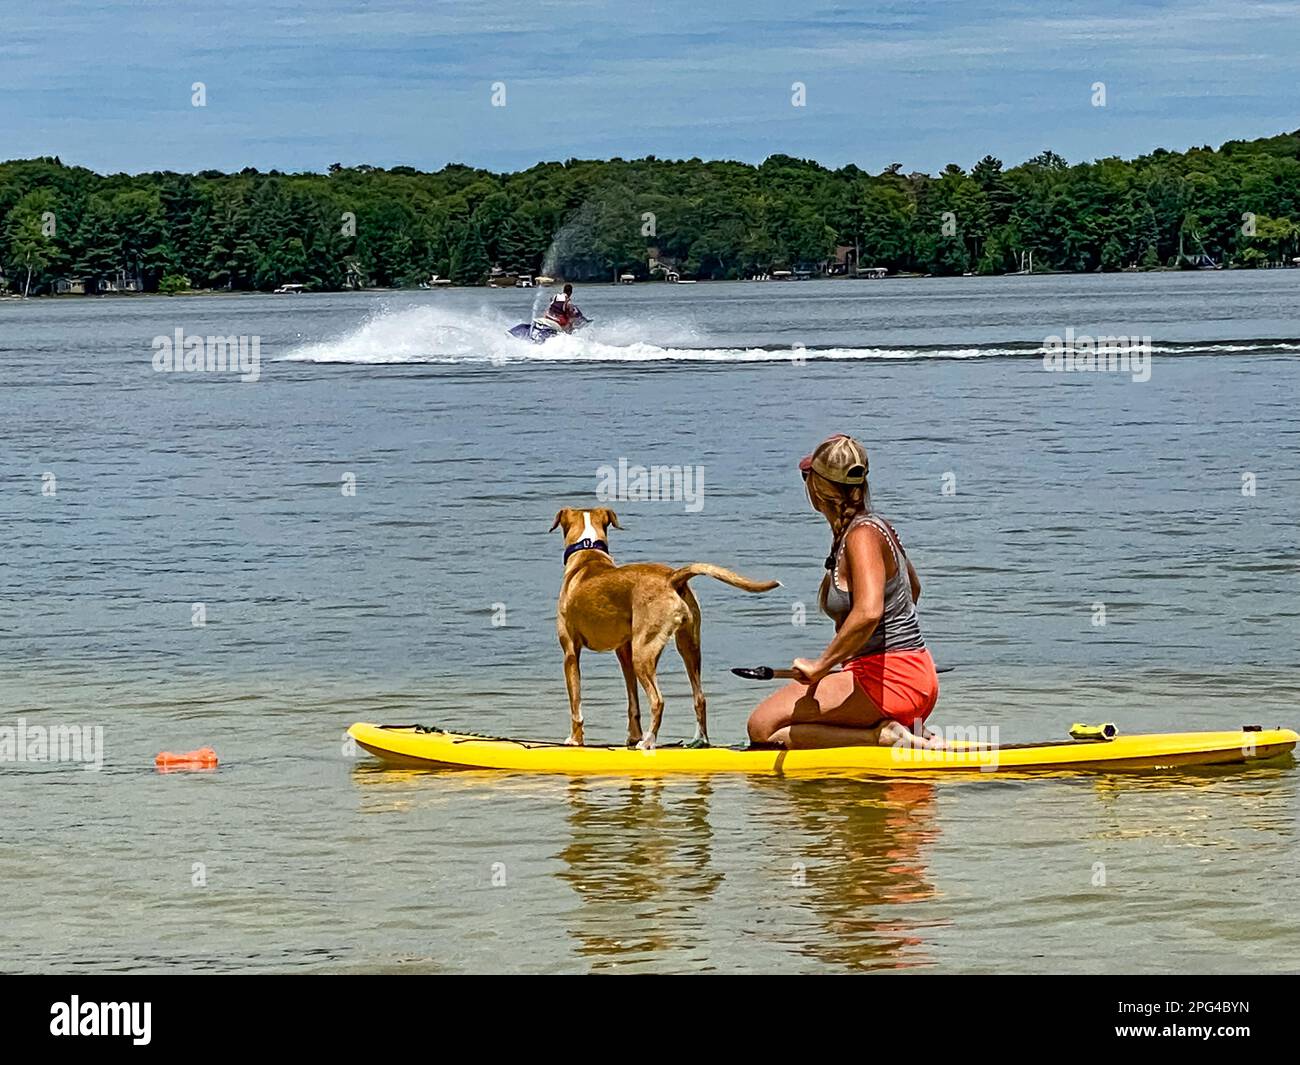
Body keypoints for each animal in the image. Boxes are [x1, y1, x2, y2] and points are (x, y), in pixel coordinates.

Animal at [551, 507, 774, 749]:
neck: (588, 551)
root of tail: (672, 577)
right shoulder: (624, 653)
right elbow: (633, 702)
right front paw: (633, 736)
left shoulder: (570, 652)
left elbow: (576, 704)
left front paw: (575, 739)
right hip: (687, 646)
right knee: (700, 698)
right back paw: (698, 740)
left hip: (643, 653)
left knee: (658, 700)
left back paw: (648, 741)